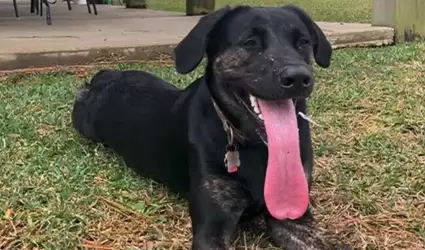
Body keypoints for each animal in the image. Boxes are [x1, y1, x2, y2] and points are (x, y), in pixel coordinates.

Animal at [72, 4, 352, 250]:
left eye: (303, 42)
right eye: (250, 42)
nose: (298, 77)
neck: (257, 148)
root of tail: (107, 76)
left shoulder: (294, 219)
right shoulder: (212, 227)